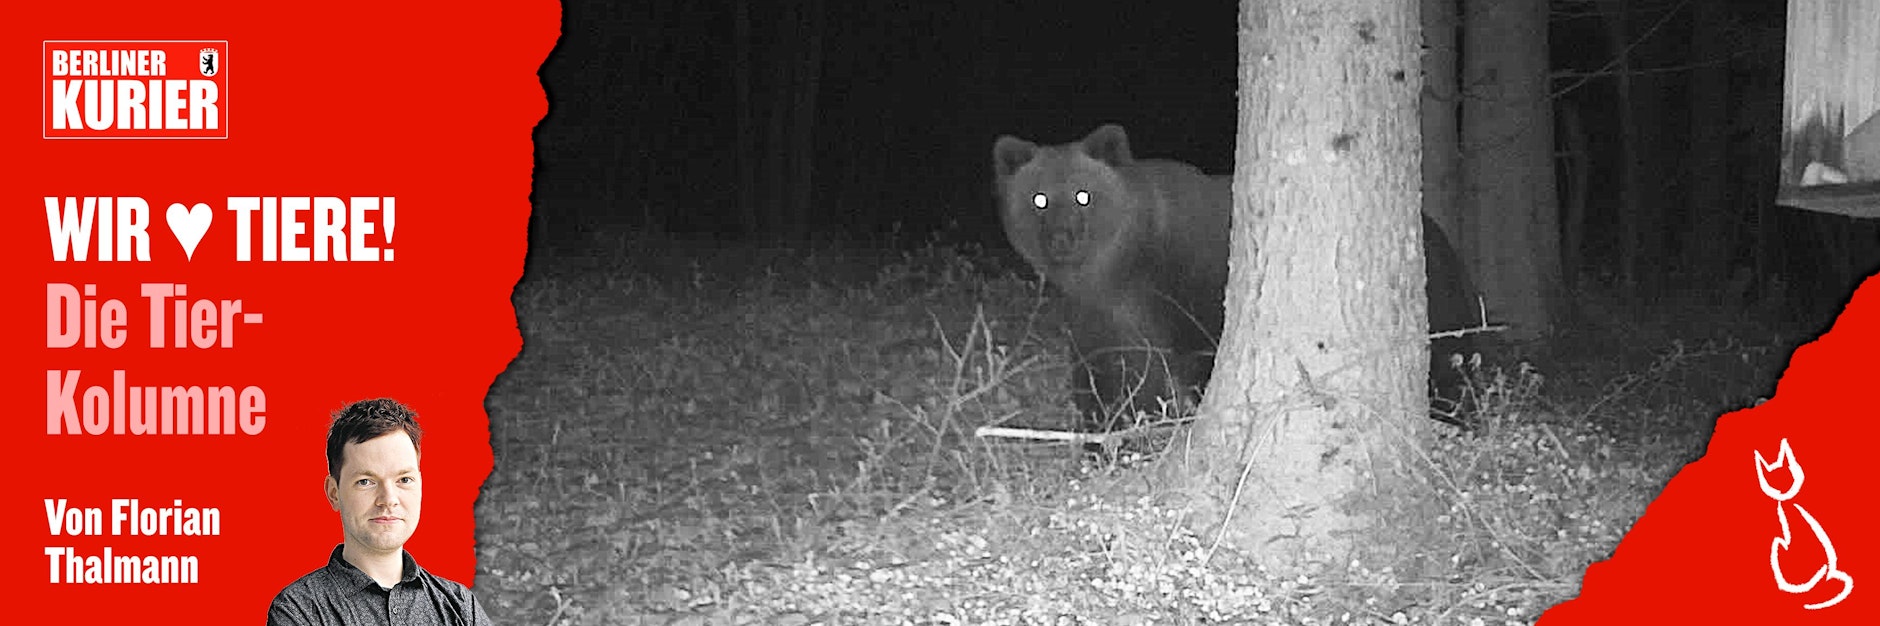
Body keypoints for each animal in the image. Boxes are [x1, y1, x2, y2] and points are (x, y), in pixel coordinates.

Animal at [991, 124, 1477, 431]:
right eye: (1038, 198)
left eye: (1083, 194)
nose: (1062, 238)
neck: (1125, 266)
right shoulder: (1098, 314)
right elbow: (1104, 373)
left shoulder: (1190, 287)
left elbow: (1185, 363)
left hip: (1440, 303)